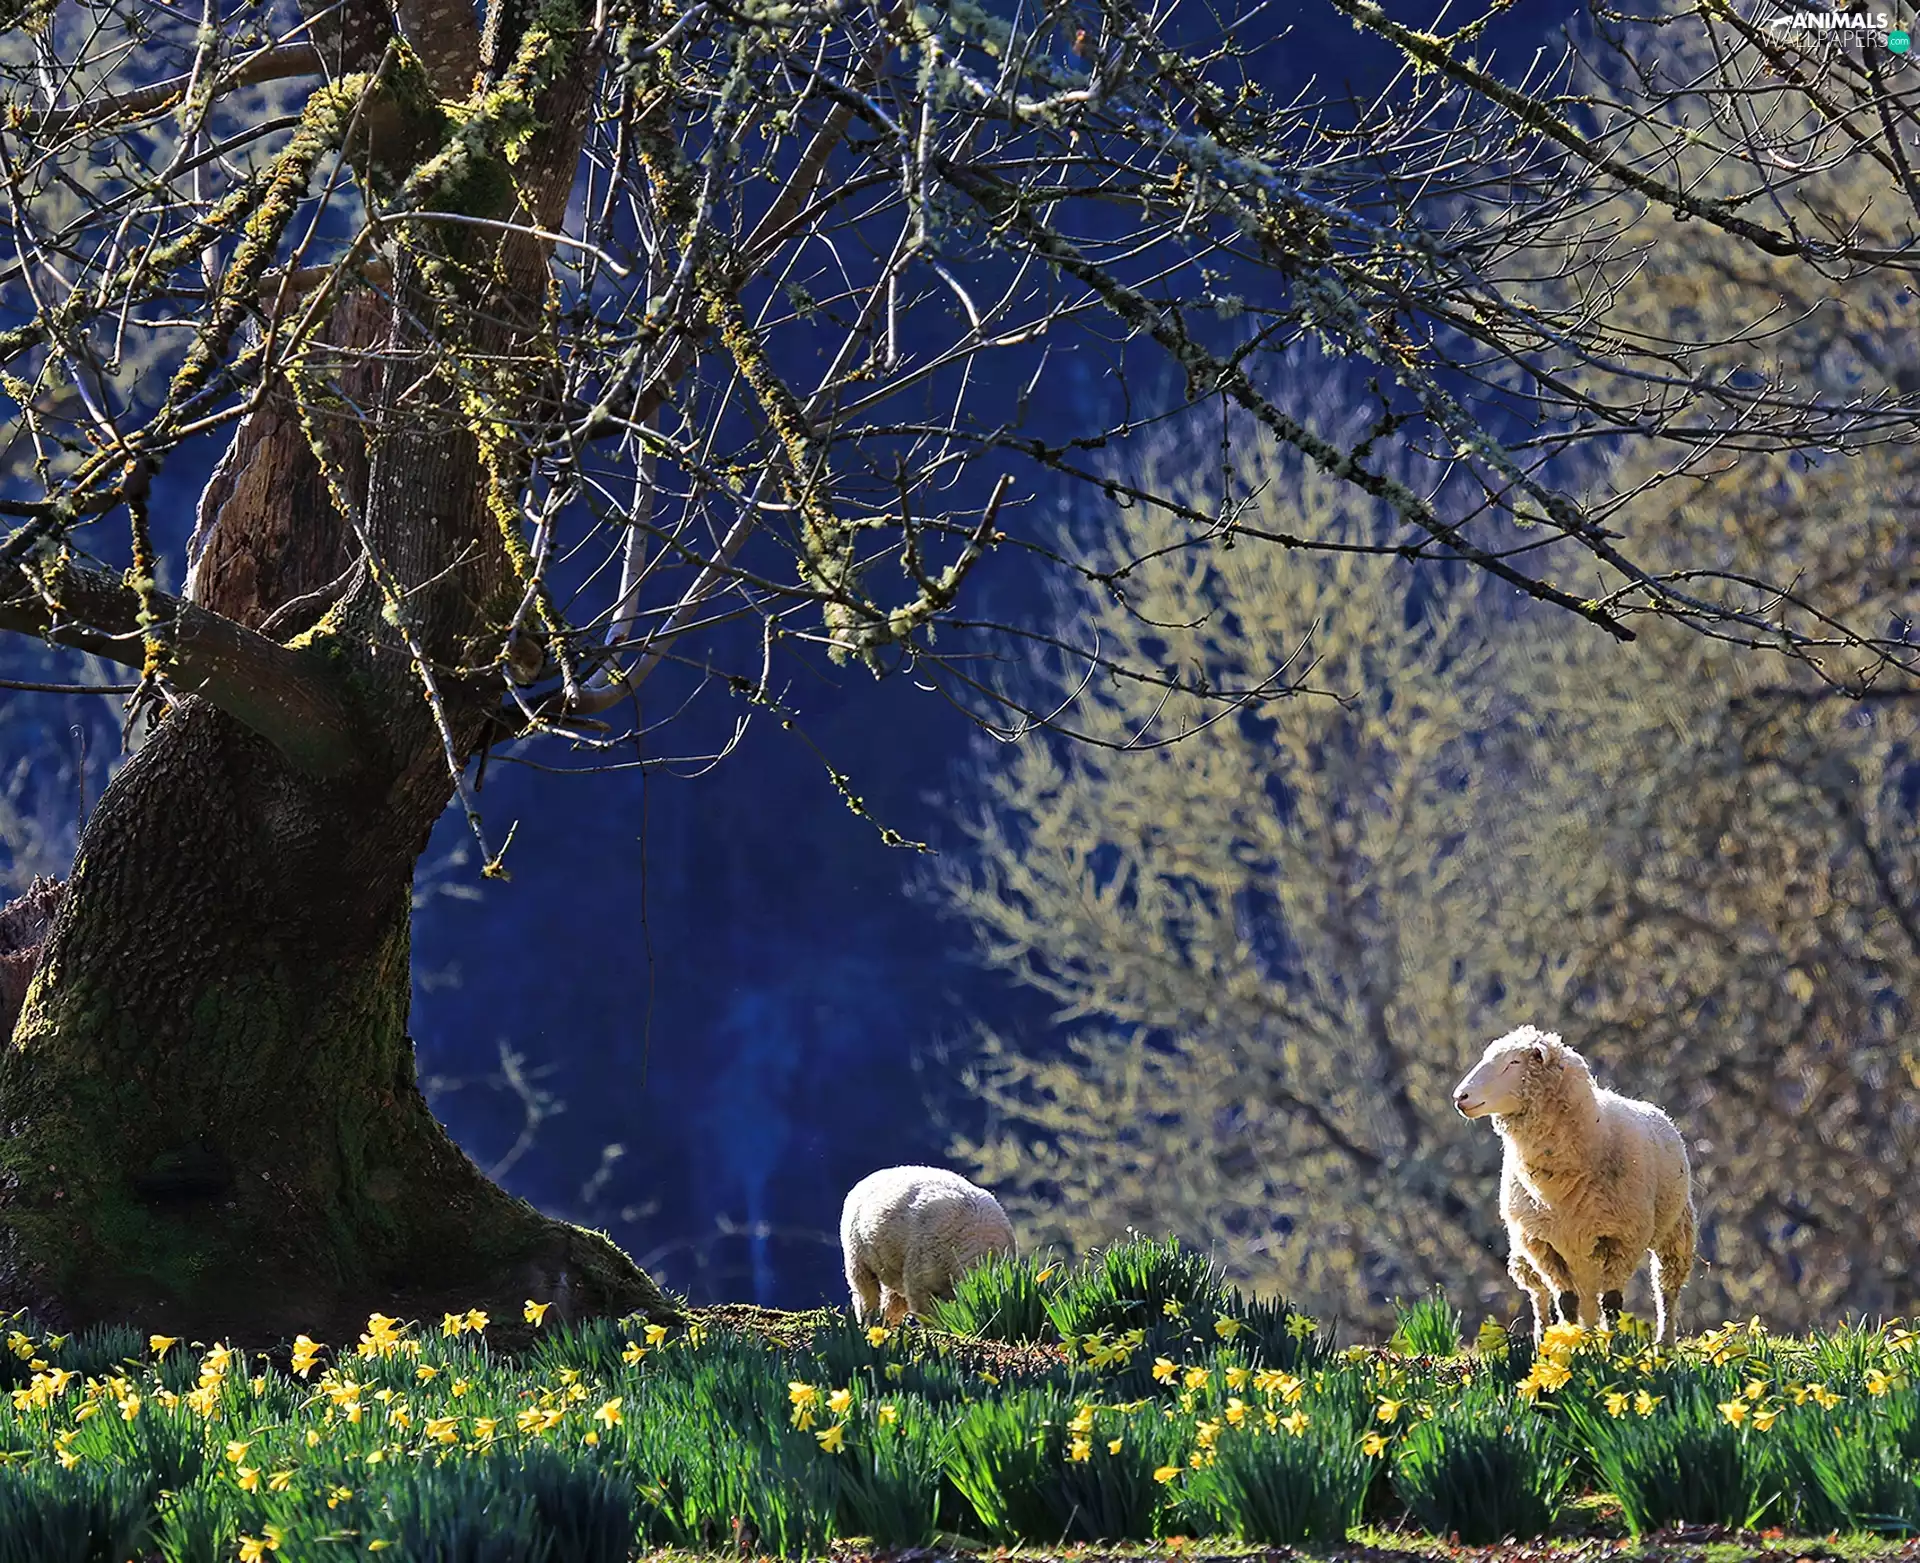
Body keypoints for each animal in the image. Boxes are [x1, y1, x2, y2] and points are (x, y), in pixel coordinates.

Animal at [840, 1165, 1016, 1325]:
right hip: (857, 1259)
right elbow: (928, 1315)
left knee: (891, 1306)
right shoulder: (920, 1281)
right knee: (866, 1297)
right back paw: (867, 1325)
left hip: (892, 1270)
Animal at [1453, 1025, 1696, 1345]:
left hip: (1673, 1231)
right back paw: (1549, 1336)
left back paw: (1663, 1343)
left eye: (1514, 1063)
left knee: (1666, 1288)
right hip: (1539, 1252)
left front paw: (1611, 1346)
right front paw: (1570, 1345)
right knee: (1544, 1294)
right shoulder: (1541, 1244)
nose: (1460, 1097)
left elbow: (1612, 1301)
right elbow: (1566, 1301)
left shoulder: (1624, 1238)